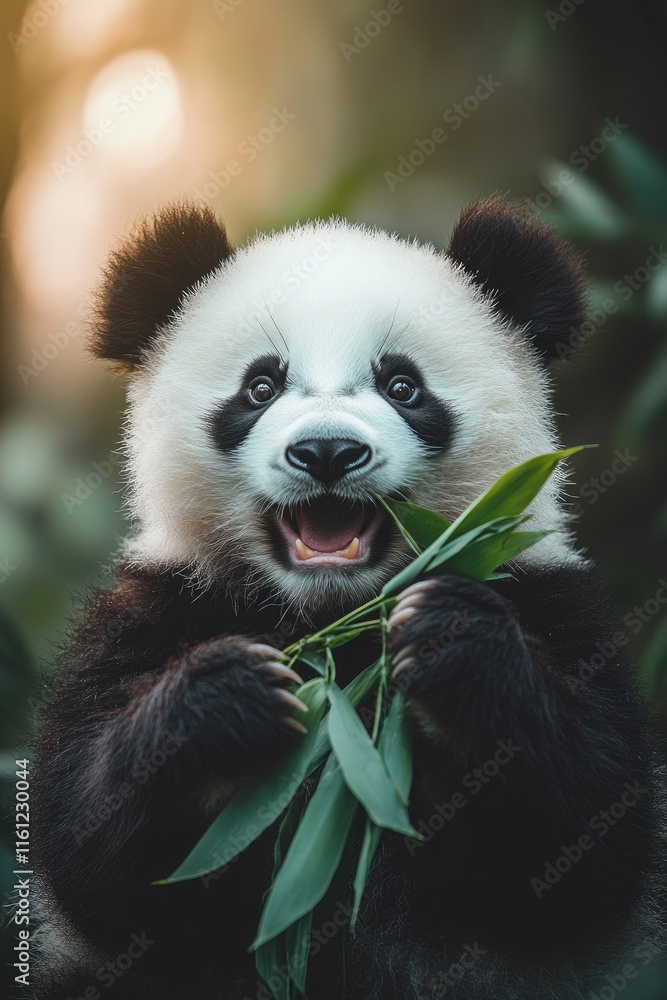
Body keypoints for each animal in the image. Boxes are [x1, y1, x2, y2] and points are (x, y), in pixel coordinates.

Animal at [31, 197, 664, 1000]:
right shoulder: (159, 606)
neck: (331, 614)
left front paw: (455, 645)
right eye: (260, 387)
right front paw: (227, 698)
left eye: (402, 386)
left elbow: (589, 843)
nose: (327, 451)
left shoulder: (551, 600)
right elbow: (93, 855)